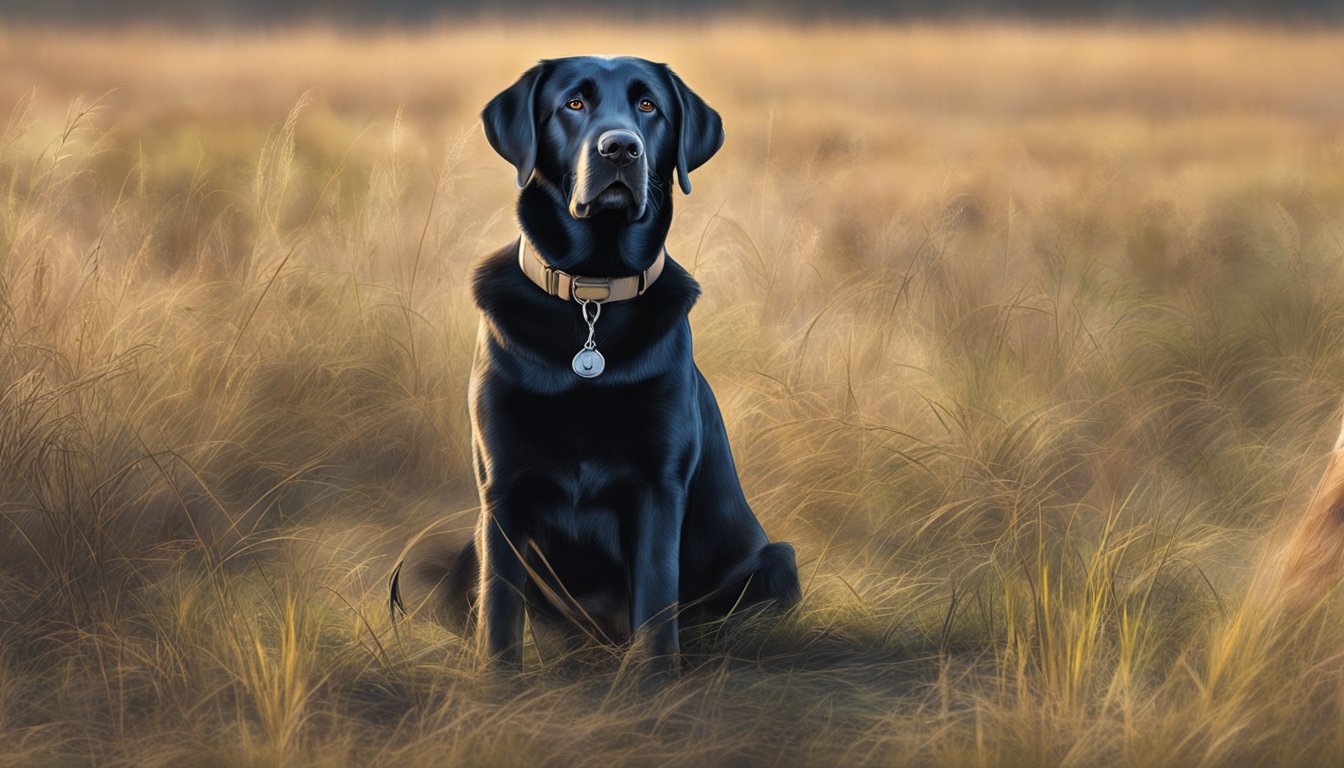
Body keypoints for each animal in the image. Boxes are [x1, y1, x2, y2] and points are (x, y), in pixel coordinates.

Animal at [392, 54, 801, 669]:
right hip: (458, 550)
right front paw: (497, 684)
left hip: (778, 563)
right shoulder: (502, 490)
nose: (621, 149)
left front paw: (655, 681)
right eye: (574, 103)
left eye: (648, 105)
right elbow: (499, 614)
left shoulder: (659, 486)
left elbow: (654, 606)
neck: (592, 294)